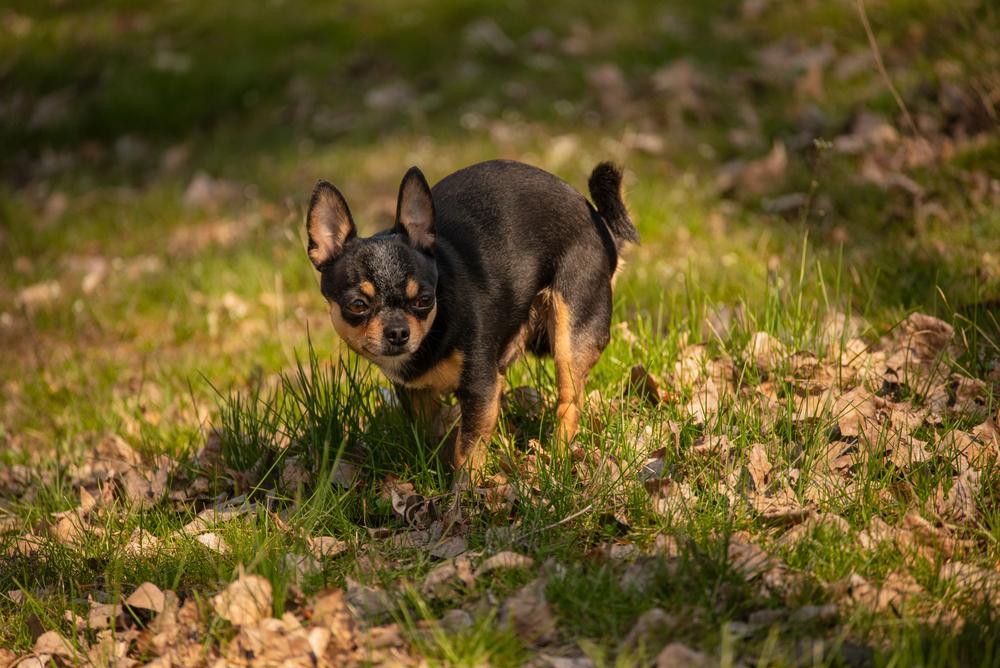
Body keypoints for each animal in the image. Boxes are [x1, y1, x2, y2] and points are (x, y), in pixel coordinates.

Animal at [304, 158, 636, 480]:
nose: (398, 331)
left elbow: (468, 449)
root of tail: (599, 223)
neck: (435, 330)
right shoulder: (416, 394)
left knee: (569, 401)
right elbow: (430, 435)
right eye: (358, 305)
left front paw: (465, 492)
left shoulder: (480, 388)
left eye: (425, 300)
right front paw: (434, 473)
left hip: (571, 334)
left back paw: (557, 456)